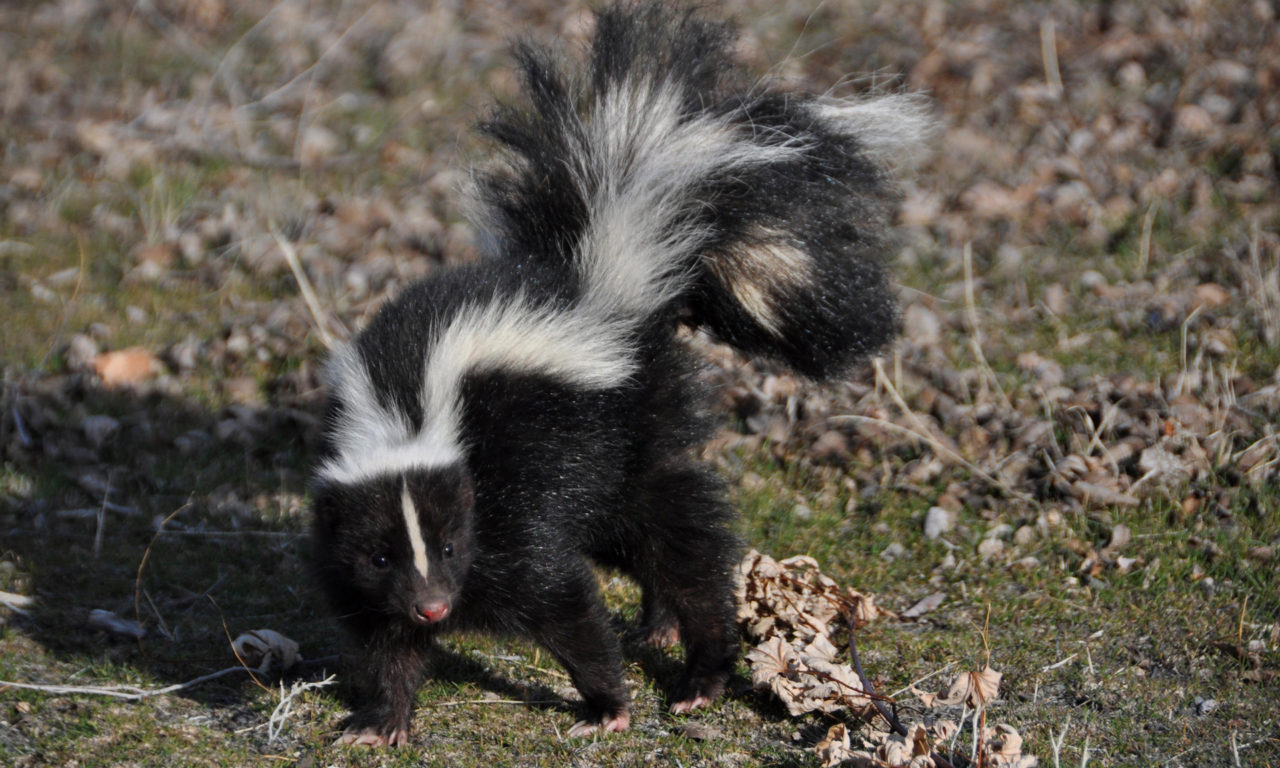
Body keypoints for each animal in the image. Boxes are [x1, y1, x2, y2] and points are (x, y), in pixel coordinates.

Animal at [309, 0, 931, 742]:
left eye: (454, 546)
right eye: (380, 555)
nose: (433, 606)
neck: (406, 412)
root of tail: (607, 283)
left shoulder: (510, 501)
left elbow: (561, 598)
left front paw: (608, 705)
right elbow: (385, 639)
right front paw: (383, 720)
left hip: (627, 435)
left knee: (680, 541)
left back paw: (700, 671)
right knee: (645, 540)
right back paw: (659, 627)